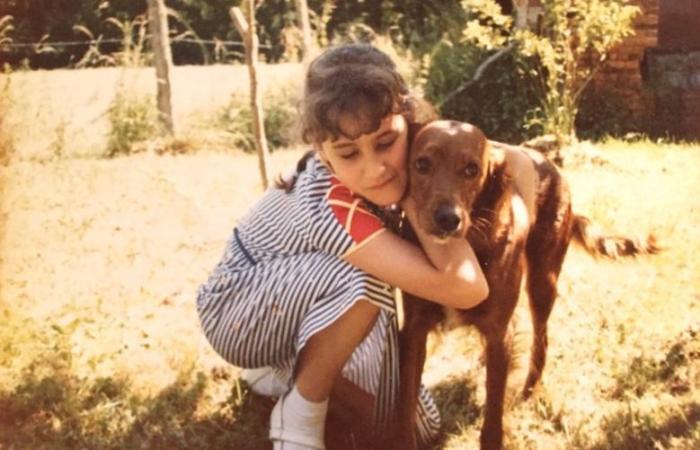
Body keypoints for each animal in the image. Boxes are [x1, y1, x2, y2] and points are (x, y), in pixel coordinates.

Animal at [396, 120, 660, 450]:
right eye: (422, 164)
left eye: (471, 169)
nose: (448, 219)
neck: (462, 253)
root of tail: (551, 166)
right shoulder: (415, 330)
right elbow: (406, 405)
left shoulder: (498, 332)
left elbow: (493, 417)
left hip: (543, 283)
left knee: (541, 341)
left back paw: (529, 391)